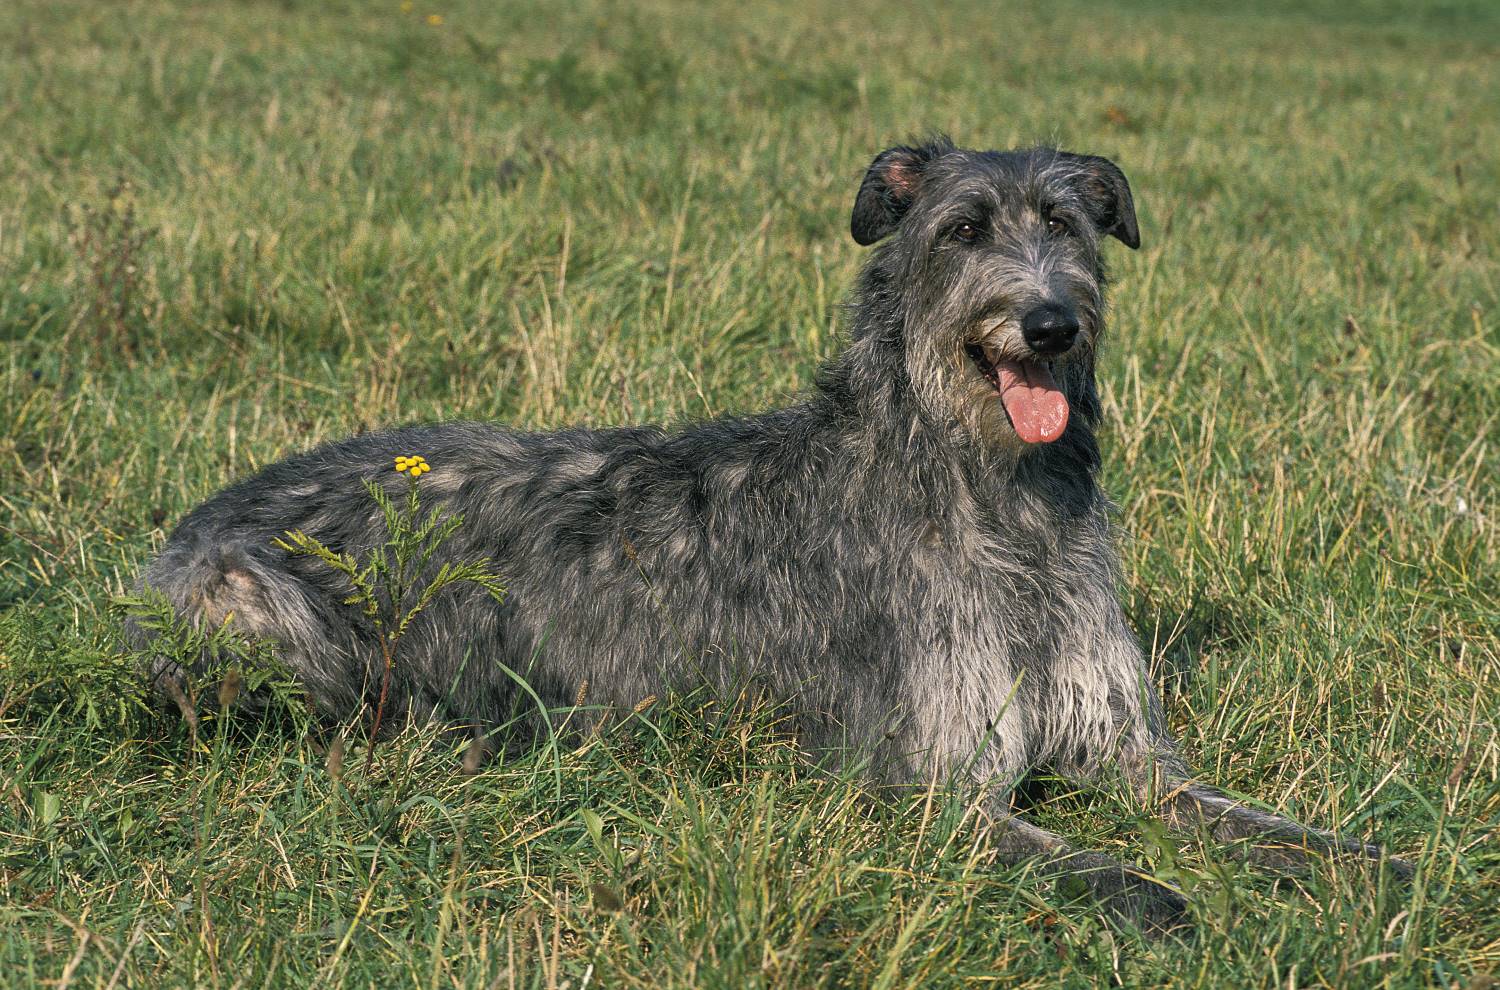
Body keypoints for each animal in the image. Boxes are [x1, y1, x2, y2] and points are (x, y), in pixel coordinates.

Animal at [135, 137, 1410, 930]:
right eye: (961, 230)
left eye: (1069, 224)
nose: (1049, 324)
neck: (990, 499)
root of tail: (197, 517)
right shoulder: (920, 783)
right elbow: (1093, 867)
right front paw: (1161, 901)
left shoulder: (1127, 749)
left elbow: (1246, 818)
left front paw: (1377, 864)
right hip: (259, 609)